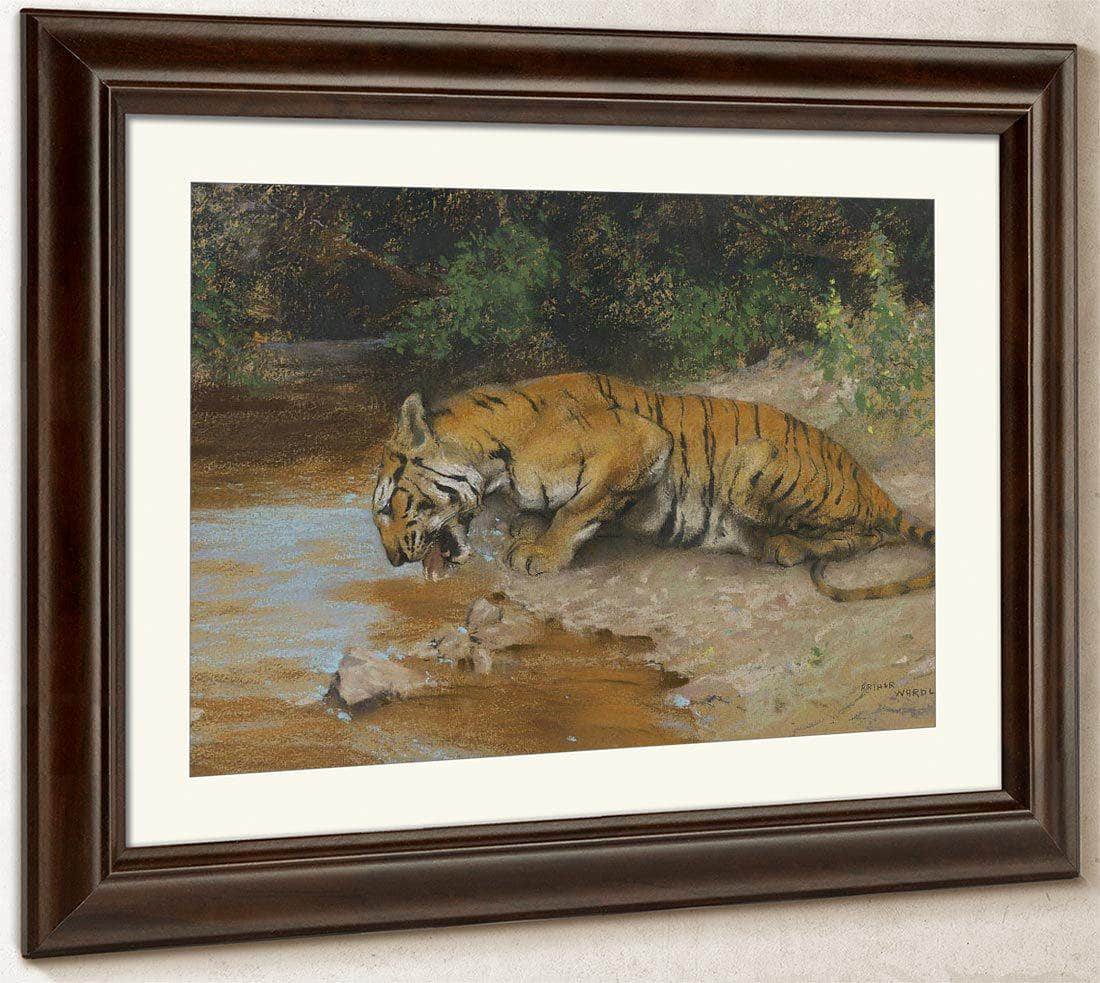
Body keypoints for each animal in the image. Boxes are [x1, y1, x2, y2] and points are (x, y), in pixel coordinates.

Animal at [371, 372, 934, 602]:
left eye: (390, 506)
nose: (394, 560)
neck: (494, 459)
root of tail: (871, 481)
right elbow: (541, 514)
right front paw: (523, 537)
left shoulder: (640, 442)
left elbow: (577, 510)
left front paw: (540, 554)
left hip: (750, 461)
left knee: (866, 534)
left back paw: (787, 546)